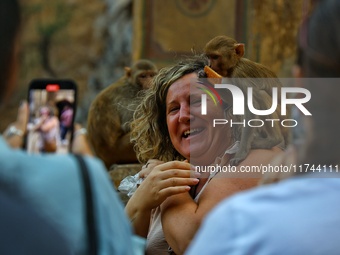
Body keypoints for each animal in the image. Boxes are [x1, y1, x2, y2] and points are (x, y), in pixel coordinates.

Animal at [205, 35, 290, 166]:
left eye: (215, 57)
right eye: (209, 57)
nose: (209, 66)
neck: (235, 66)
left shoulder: (239, 75)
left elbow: (252, 106)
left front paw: (241, 153)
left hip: (282, 119)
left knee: (260, 95)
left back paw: (273, 140)